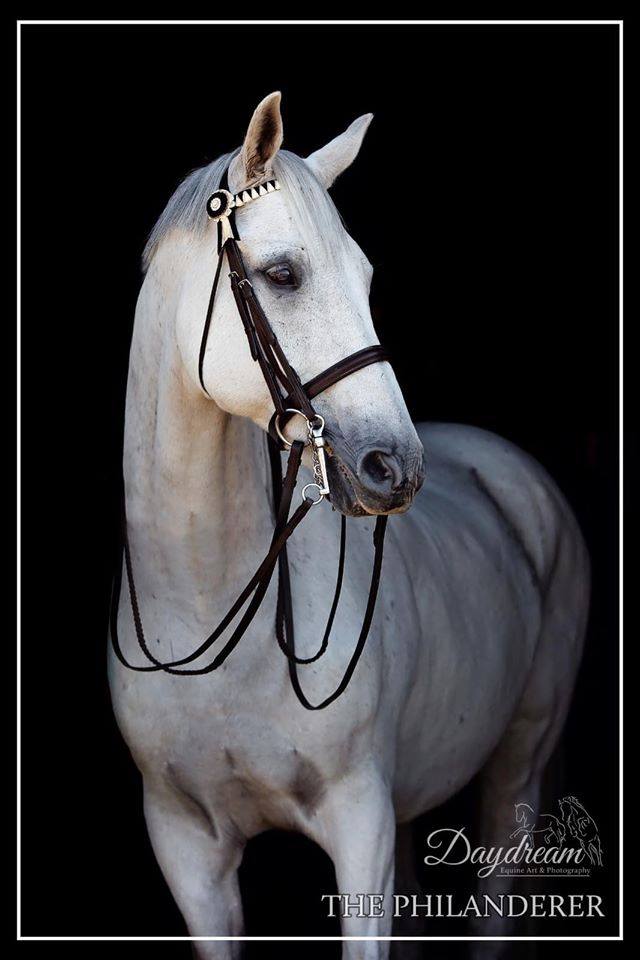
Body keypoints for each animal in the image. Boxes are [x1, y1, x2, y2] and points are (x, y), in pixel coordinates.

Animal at [108, 92, 591, 958]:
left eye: (366, 277)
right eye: (283, 274)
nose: (394, 466)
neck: (203, 605)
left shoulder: (358, 824)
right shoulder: (188, 852)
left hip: (515, 773)